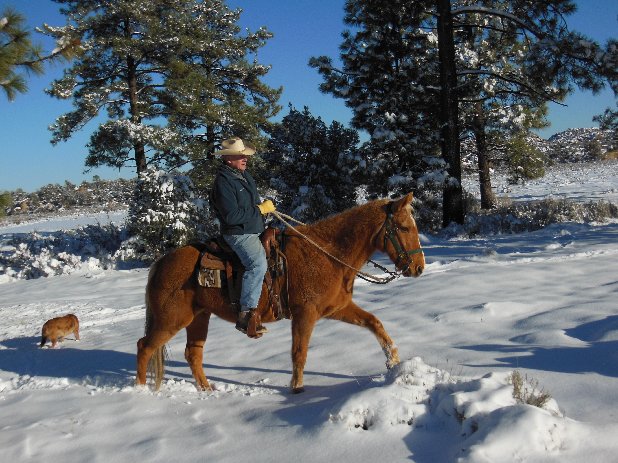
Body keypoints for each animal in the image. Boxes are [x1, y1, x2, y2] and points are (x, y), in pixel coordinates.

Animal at [135, 192, 424, 392]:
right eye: (404, 227)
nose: (419, 267)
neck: (326, 254)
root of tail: (162, 262)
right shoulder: (305, 314)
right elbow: (299, 352)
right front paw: (297, 390)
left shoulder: (337, 309)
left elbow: (375, 323)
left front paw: (393, 361)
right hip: (171, 319)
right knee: (145, 347)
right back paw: (140, 391)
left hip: (198, 318)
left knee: (193, 354)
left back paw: (207, 389)